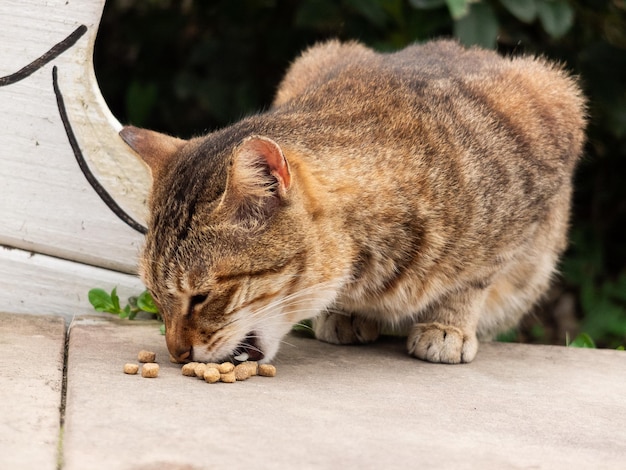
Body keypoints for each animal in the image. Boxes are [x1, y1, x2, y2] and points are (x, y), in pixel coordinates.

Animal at [120, 39, 584, 364]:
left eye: (200, 297)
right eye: (156, 296)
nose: (176, 354)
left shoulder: (554, 111)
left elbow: (476, 276)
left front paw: (448, 325)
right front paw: (348, 313)